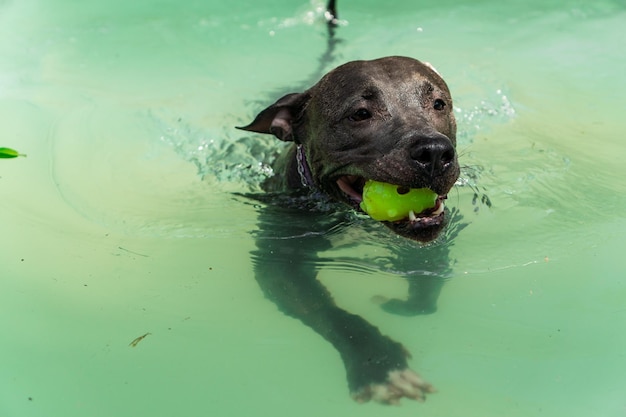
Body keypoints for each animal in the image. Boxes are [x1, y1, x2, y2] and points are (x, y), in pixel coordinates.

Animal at [236, 55, 460, 404]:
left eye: (439, 104)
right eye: (360, 114)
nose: (435, 151)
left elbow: (428, 284)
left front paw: (406, 305)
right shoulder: (278, 265)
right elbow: (328, 313)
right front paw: (379, 363)